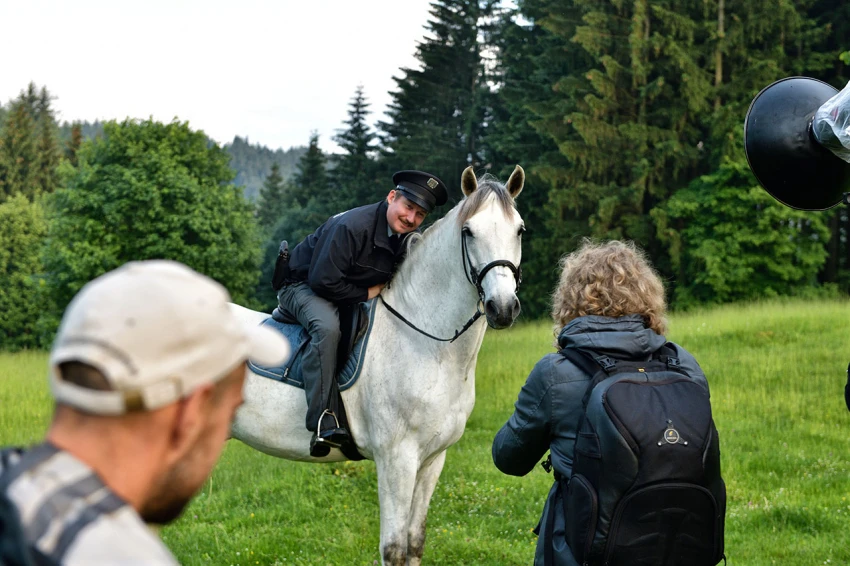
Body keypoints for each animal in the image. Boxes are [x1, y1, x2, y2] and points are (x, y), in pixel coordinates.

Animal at [229, 166, 520, 564]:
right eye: (468, 231)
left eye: (519, 230)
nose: (502, 307)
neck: (424, 342)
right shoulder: (396, 459)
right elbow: (393, 548)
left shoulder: (433, 460)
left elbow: (414, 542)